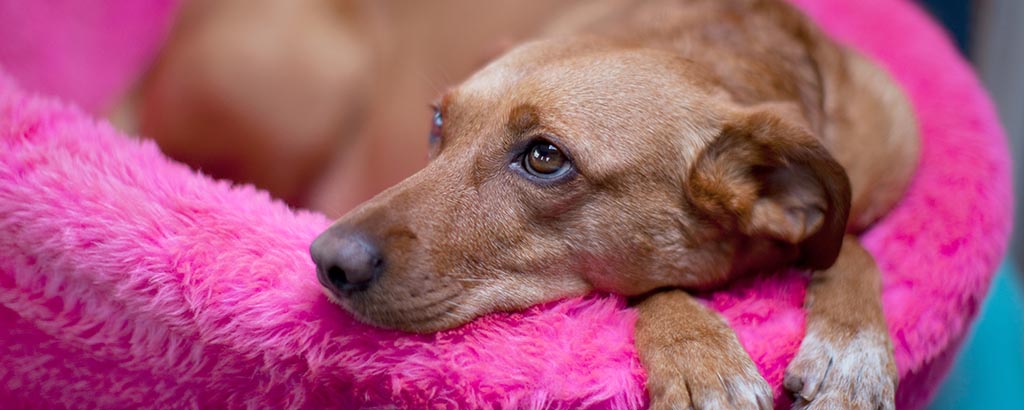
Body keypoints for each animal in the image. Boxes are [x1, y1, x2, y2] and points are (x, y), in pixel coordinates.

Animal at [307, 1, 917, 407]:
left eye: (545, 157)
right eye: (438, 122)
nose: (325, 259)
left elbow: (850, 248)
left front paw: (852, 349)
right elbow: (660, 290)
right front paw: (700, 358)